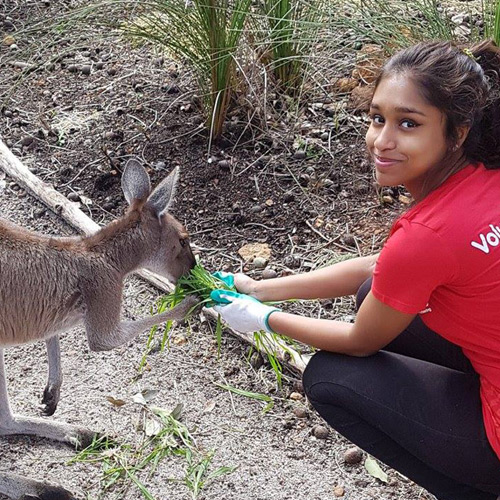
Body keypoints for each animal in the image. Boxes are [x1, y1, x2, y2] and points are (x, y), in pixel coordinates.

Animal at [0, 158, 199, 500]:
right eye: (184, 240)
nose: (195, 269)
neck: (103, 253)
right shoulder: (104, 294)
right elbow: (106, 341)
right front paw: (192, 303)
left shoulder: (51, 315)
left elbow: (52, 337)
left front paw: (52, 394)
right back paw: (45, 488)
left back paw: (80, 435)